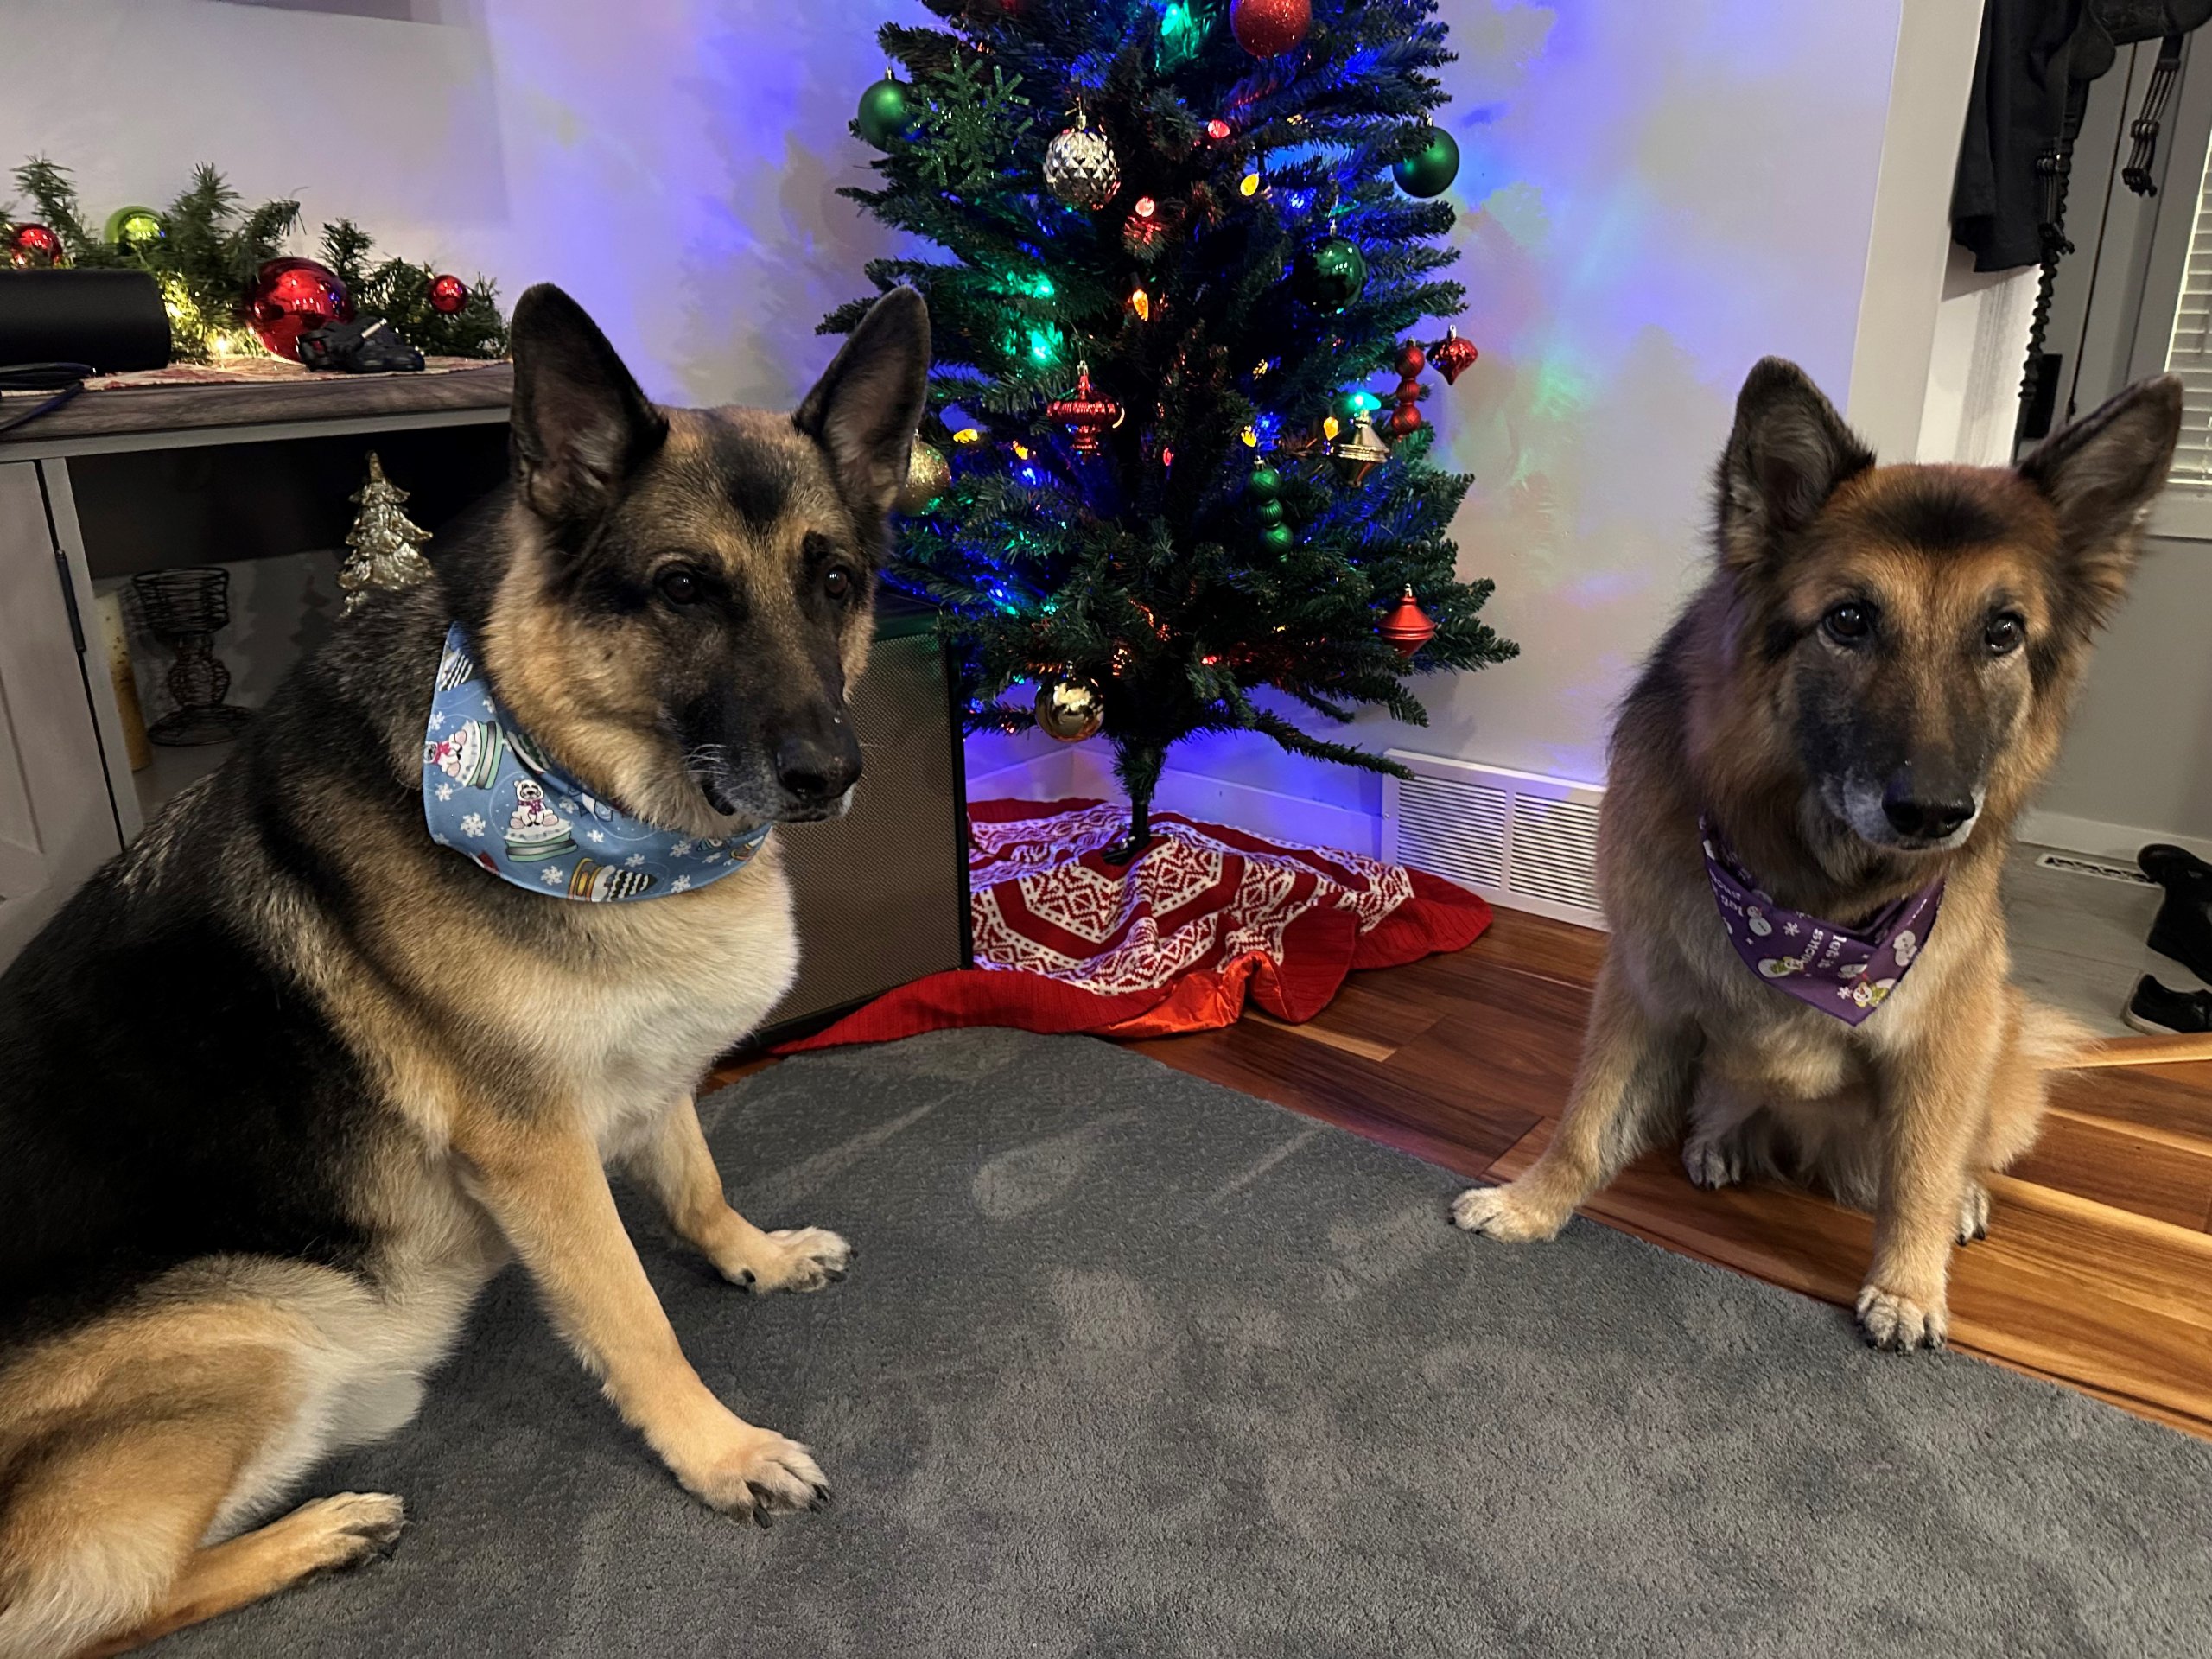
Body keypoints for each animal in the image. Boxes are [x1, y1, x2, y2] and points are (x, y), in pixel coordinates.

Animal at [0, 280, 929, 1656]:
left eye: (835, 581)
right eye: (682, 589)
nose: (830, 774)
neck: (572, 789)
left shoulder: (644, 1072)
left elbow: (695, 1179)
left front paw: (750, 1254)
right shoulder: (536, 1150)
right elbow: (635, 1318)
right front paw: (718, 1451)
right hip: (257, 1324)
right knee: (79, 1614)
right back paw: (317, 1534)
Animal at [1452, 359, 2180, 1354]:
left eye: (2002, 633)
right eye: (1849, 620)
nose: (1933, 813)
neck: (1815, 900)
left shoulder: (1941, 1028)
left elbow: (1919, 1172)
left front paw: (1908, 1286)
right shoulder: (1642, 986)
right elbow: (1586, 1117)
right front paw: (1532, 1202)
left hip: (1994, 1045)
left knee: (1951, 1155)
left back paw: (1959, 1200)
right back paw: (1719, 1141)